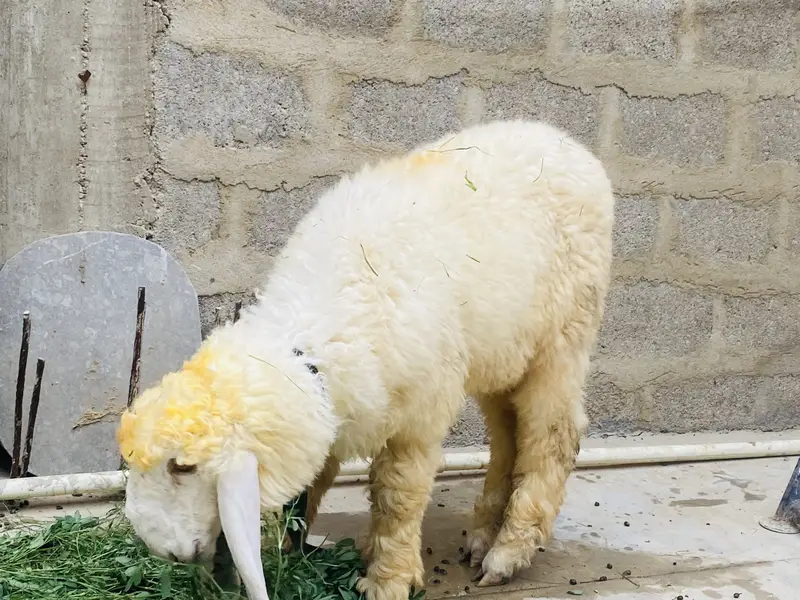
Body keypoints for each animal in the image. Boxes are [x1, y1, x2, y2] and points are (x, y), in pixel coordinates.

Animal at [117, 118, 615, 600]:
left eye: (183, 467)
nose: (157, 548)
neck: (316, 335)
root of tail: (573, 147)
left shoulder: (418, 415)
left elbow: (397, 495)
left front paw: (388, 579)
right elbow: (319, 480)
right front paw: (291, 551)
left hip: (564, 336)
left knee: (553, 436)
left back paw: (508, 552)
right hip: (501, 352)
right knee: (509, 434)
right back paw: (482, 536)